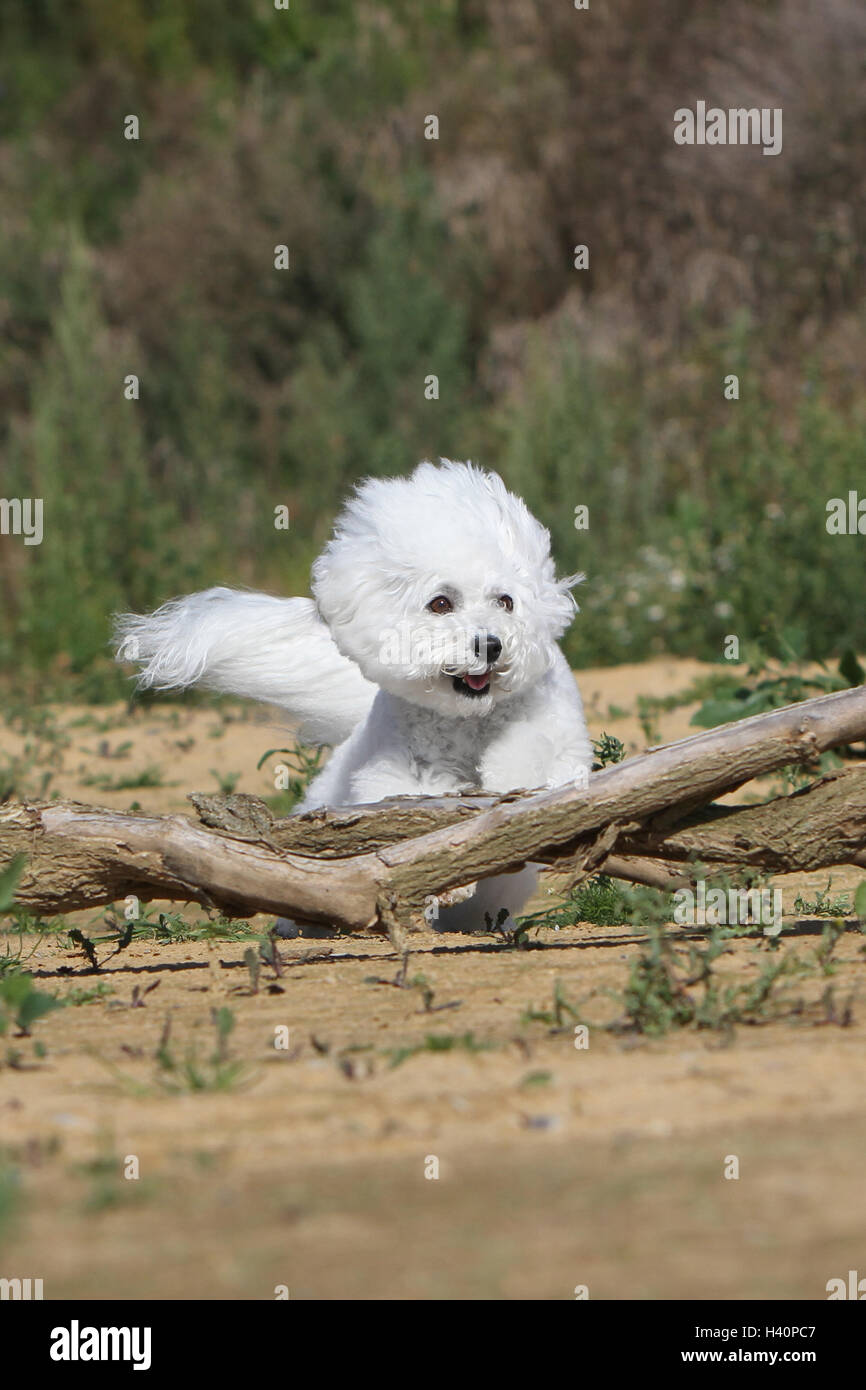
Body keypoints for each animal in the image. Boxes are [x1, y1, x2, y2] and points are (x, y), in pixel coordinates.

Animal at [115, 461, 592, 928]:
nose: (491, 645)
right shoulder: (399, 773)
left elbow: (524, 760)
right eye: (440, 603)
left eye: (505, 601)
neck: (468, 720)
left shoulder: (549, 734)